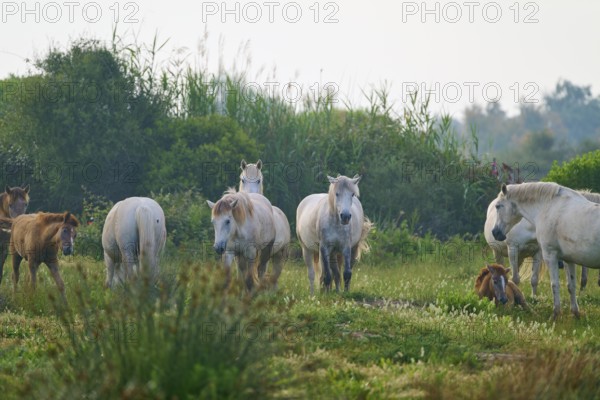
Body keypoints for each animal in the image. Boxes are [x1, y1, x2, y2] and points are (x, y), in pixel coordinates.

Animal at [490, 183, 600, 320]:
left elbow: (555, 284)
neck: (548, 207)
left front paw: (555, 314)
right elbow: (571, 285)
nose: (495, 232)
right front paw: (575, 313)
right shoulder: (569, 260)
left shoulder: (550, 255)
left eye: (498, 206)